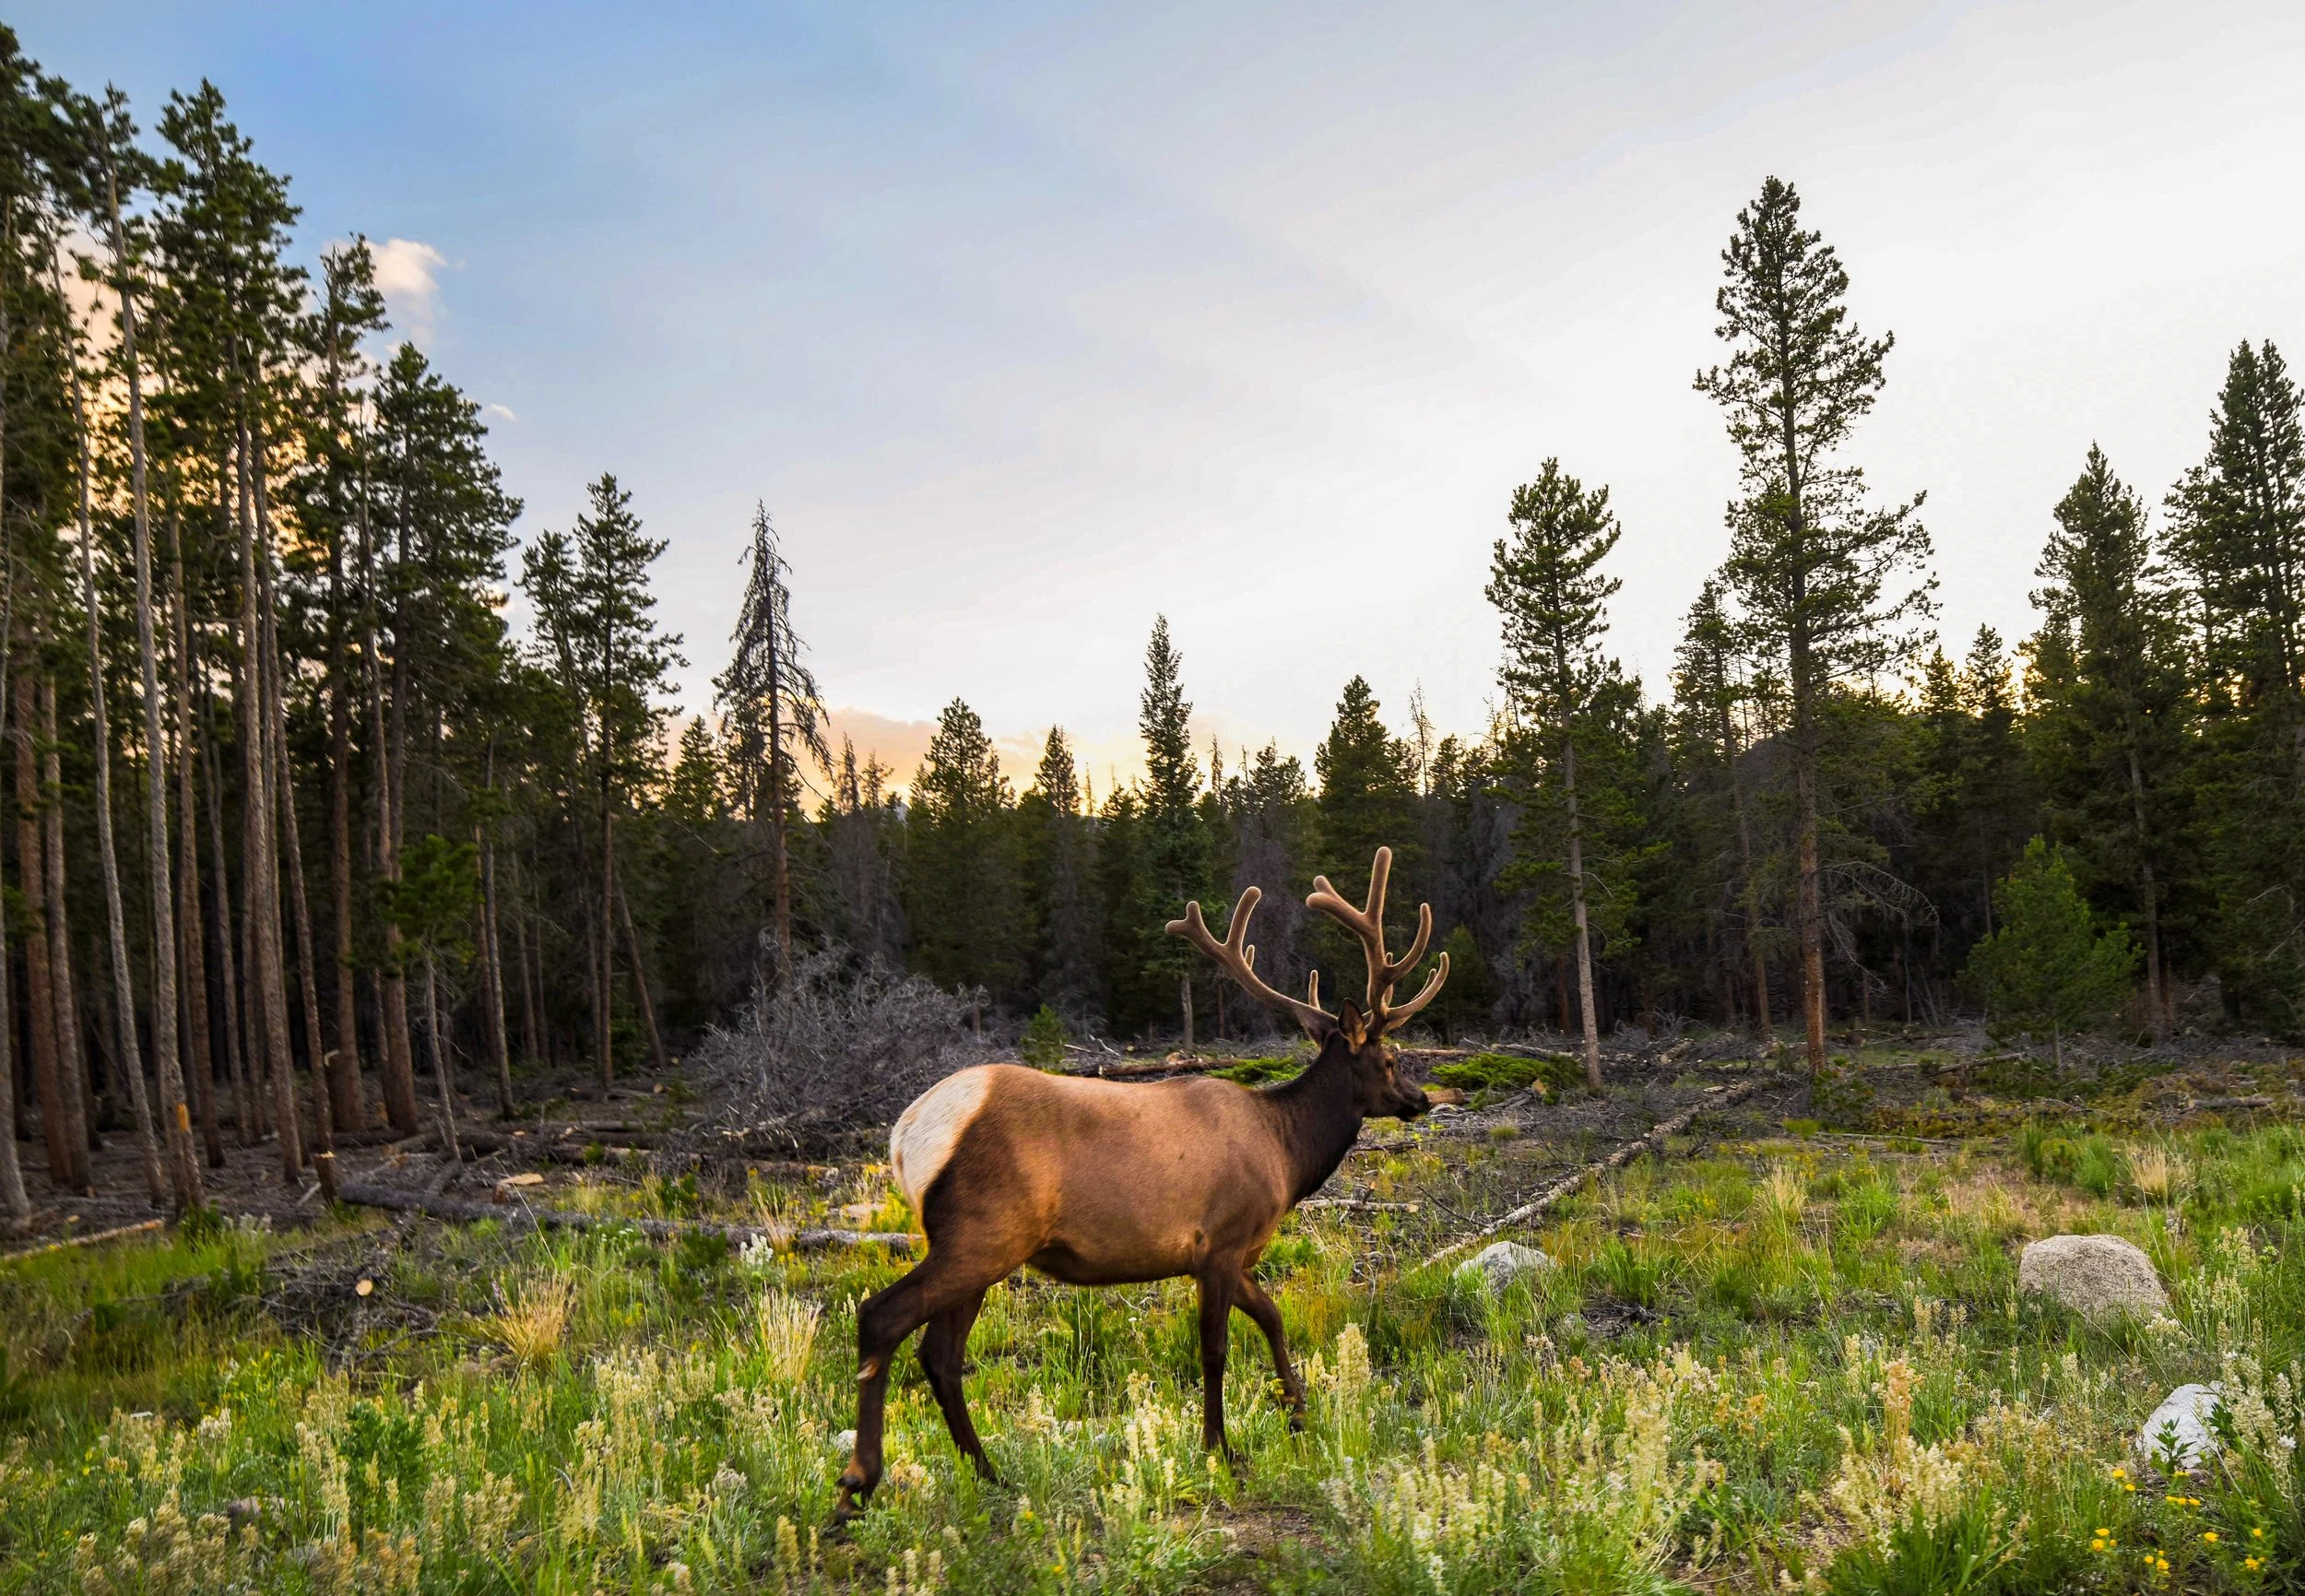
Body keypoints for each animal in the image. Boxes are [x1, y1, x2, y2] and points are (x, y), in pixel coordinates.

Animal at [832, 846, 1448, 1523]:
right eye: (1390, 1059)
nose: (1420, 1099)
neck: (1286, 1155)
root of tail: (905, 1134)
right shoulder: (1220, 1242)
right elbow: (1215, 1348)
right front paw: (1221, 1449)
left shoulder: (1230, 1255)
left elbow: (1273, 1316)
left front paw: (1297, 1414)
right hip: (981, 1234)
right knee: (883, 1316)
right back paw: (861, 1478)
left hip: (978, 1248)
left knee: (939, 1354)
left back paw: (988, 1471)